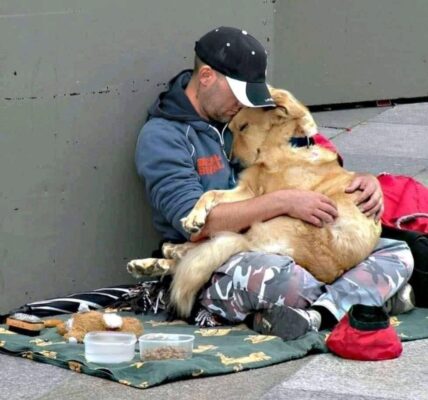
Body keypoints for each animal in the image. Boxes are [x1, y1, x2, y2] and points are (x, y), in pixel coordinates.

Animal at [128, 87, 382, 318]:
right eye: (231, 129)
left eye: (243, 127)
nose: (233, 162)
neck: (286, 145)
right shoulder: (247, 190)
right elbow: (209, 195)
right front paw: (194, 216)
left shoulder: (258, 195)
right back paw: (154, 261)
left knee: (202, 252)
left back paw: (163, 256)